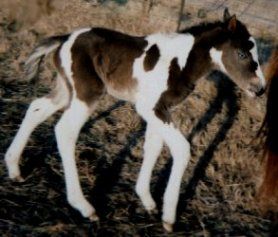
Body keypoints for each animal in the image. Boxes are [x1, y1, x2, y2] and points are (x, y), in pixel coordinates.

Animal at [3, 9, 264, 231]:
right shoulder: (150, 107)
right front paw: (169, 217)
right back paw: (85, 207)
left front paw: (147, 201)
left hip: (67, 90)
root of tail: (65, 38)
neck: (181, 63)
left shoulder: (160, 110)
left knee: (36, 108)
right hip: (86, 93)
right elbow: (181, 148)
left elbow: (153, 146)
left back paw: (14, 168)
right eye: (242, 53)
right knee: (65, 131)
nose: (260, 89)